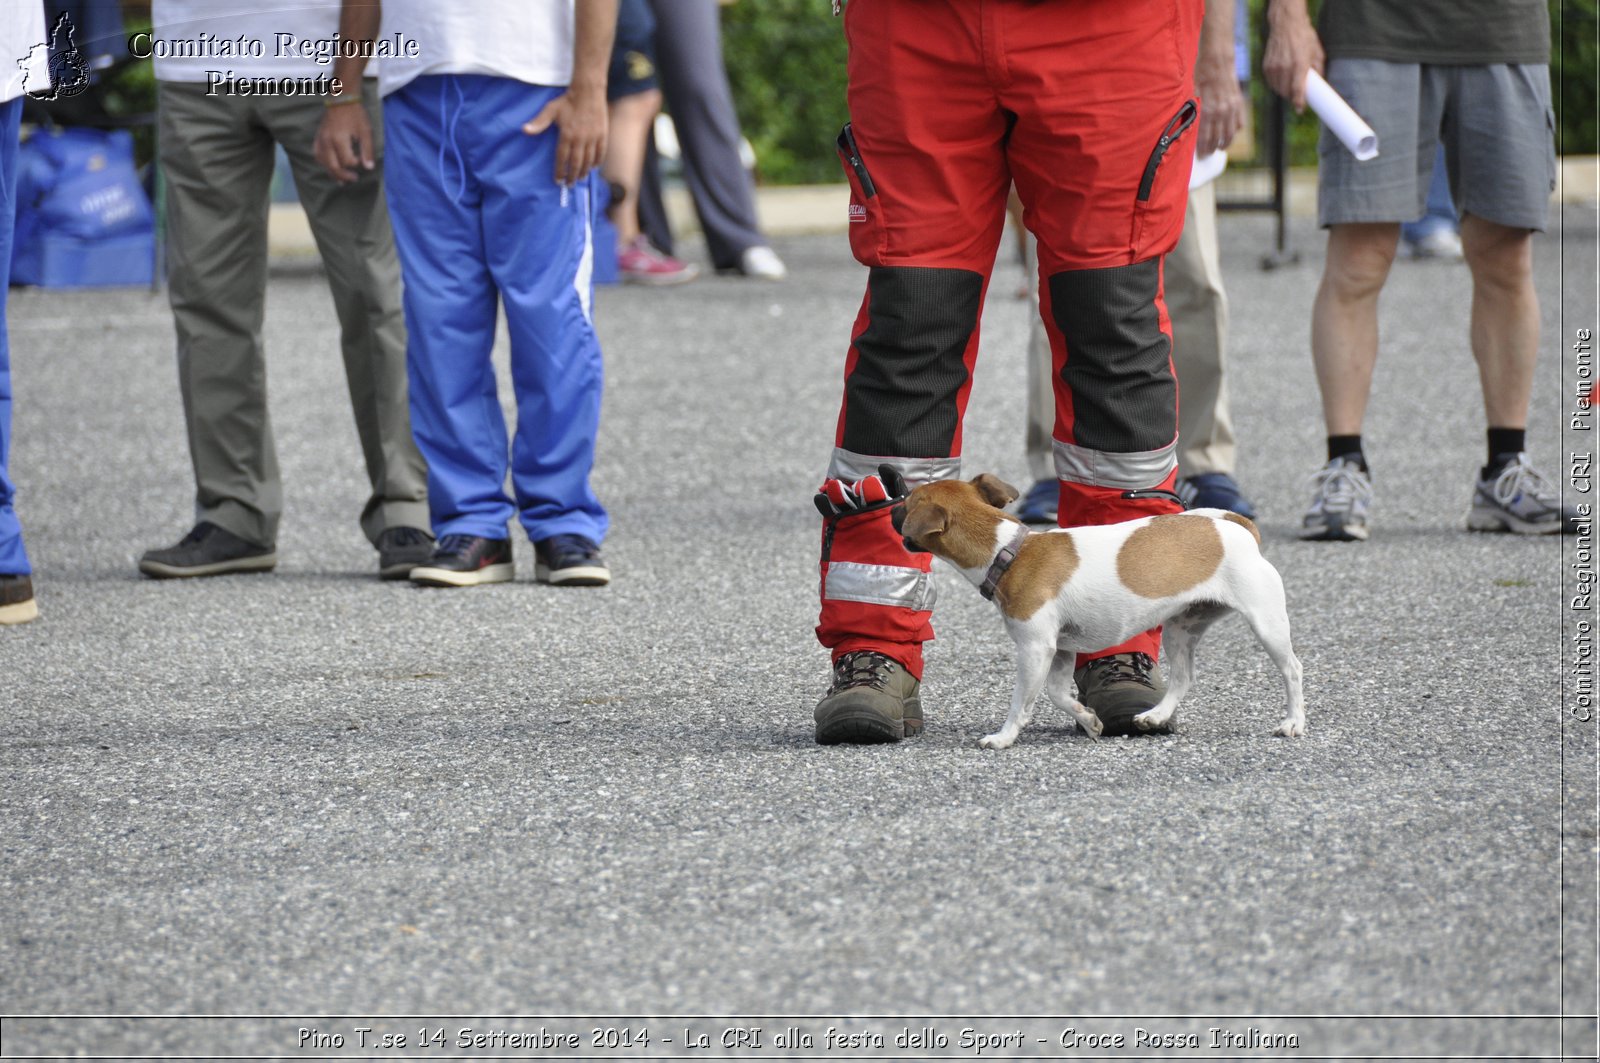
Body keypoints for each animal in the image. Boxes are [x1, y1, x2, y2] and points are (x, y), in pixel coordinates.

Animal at [896, 470, 1305, 752]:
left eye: (908, 501)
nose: (892, 497)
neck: (1009, 552)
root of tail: (1237, 527)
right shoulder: (1060, 651)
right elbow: (1057, 694)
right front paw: (1089, 721)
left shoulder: (1035, 649)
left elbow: (1021, 702)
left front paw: (1003, 737)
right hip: (1181, 628)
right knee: (1183, 677)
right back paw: (1156, 715)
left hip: (1266, 623)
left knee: (1292, 670)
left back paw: (1293, 722)